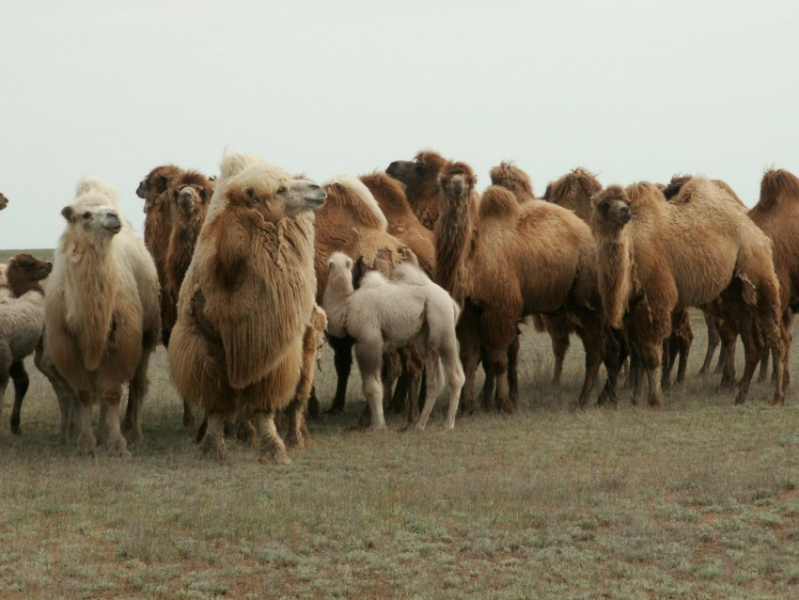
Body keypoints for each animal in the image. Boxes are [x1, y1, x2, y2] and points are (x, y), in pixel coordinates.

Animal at [46, 178, 162, 454]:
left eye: (107, 211)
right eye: (85, 215)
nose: (113, 217)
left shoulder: (122, 341)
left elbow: (111, 393)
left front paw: (118, 444)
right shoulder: (68, 346)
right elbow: (85, 394)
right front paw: (86, 442)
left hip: (146, 335)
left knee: (137, 386)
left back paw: (136, 435)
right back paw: (100, 434)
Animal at [167, 152, 326, 462]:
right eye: (280, 189)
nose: (318, 188)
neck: (230, 271)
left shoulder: (268, 342)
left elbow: (264, 403)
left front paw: (275, 450)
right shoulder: (206, 341)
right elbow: (216, 400)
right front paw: (212, 448)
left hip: (305, 343)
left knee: (297, 397)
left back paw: (295, 438)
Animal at [322, 251, 466, 428]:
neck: (346, 308)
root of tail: (451, 301)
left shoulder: (368, 340)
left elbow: (371, 386)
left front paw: (378, 426)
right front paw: (378, 423)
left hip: (443, 327)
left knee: (456, 376)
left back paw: (448, 424)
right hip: (427, 338)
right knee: (435, 381)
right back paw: (419, 425)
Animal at [434, 159, 620, 412]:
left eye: (470, 181)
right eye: (443, 181)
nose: (457, 186)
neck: (472, 262)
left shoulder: (501, 310)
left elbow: (499, 359)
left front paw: (504, 404)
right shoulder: (468, 312)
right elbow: (469, 358)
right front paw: (466, 406)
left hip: (590, 301)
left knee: (595, 350)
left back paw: (583, 400)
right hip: (576, 306)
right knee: (604, 347)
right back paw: (603, 397)